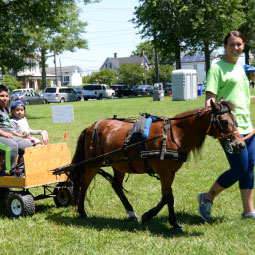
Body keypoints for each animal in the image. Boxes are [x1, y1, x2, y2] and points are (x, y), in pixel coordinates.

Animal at [67, 100, 245, 233]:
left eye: (235, 121)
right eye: (224, 121)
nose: (240, 145)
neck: (174, 135)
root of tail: (91, 126)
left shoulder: (169, 173)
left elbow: (166, 196)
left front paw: (148, 215)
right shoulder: (165, 172)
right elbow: (169, 197)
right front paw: (175, 223)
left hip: (119, 165)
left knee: (116, 186)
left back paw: (131, 213)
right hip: (93, 164)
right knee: (83, 185)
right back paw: (82, 212)